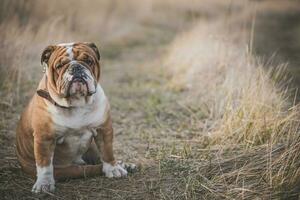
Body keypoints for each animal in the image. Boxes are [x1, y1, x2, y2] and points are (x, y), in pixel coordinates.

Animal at [15, 42, 127, 194]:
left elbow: (107, 152)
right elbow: (44, 164)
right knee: (85, 169)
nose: (76, 67)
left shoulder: (103, 129)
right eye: (59, 65)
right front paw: (44, 183)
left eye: (88, 61)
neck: (76, 103)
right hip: (67, 170)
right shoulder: (44, 138)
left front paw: (113, 168)